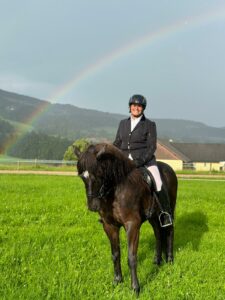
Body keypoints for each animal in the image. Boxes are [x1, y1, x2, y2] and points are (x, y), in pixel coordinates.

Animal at [74, 142, 177, 292]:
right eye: (82, 176)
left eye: (99, 174)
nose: (93, 206)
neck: (115, 191)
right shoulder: (109, 226)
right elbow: (115, 254)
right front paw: (117, 280)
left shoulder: (132, 225)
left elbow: (131, 257)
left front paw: (135, 288)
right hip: (153, 216)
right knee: (158, 233)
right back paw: (157, 261)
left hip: (169, 209)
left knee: (169, 230)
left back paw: (169, 260)